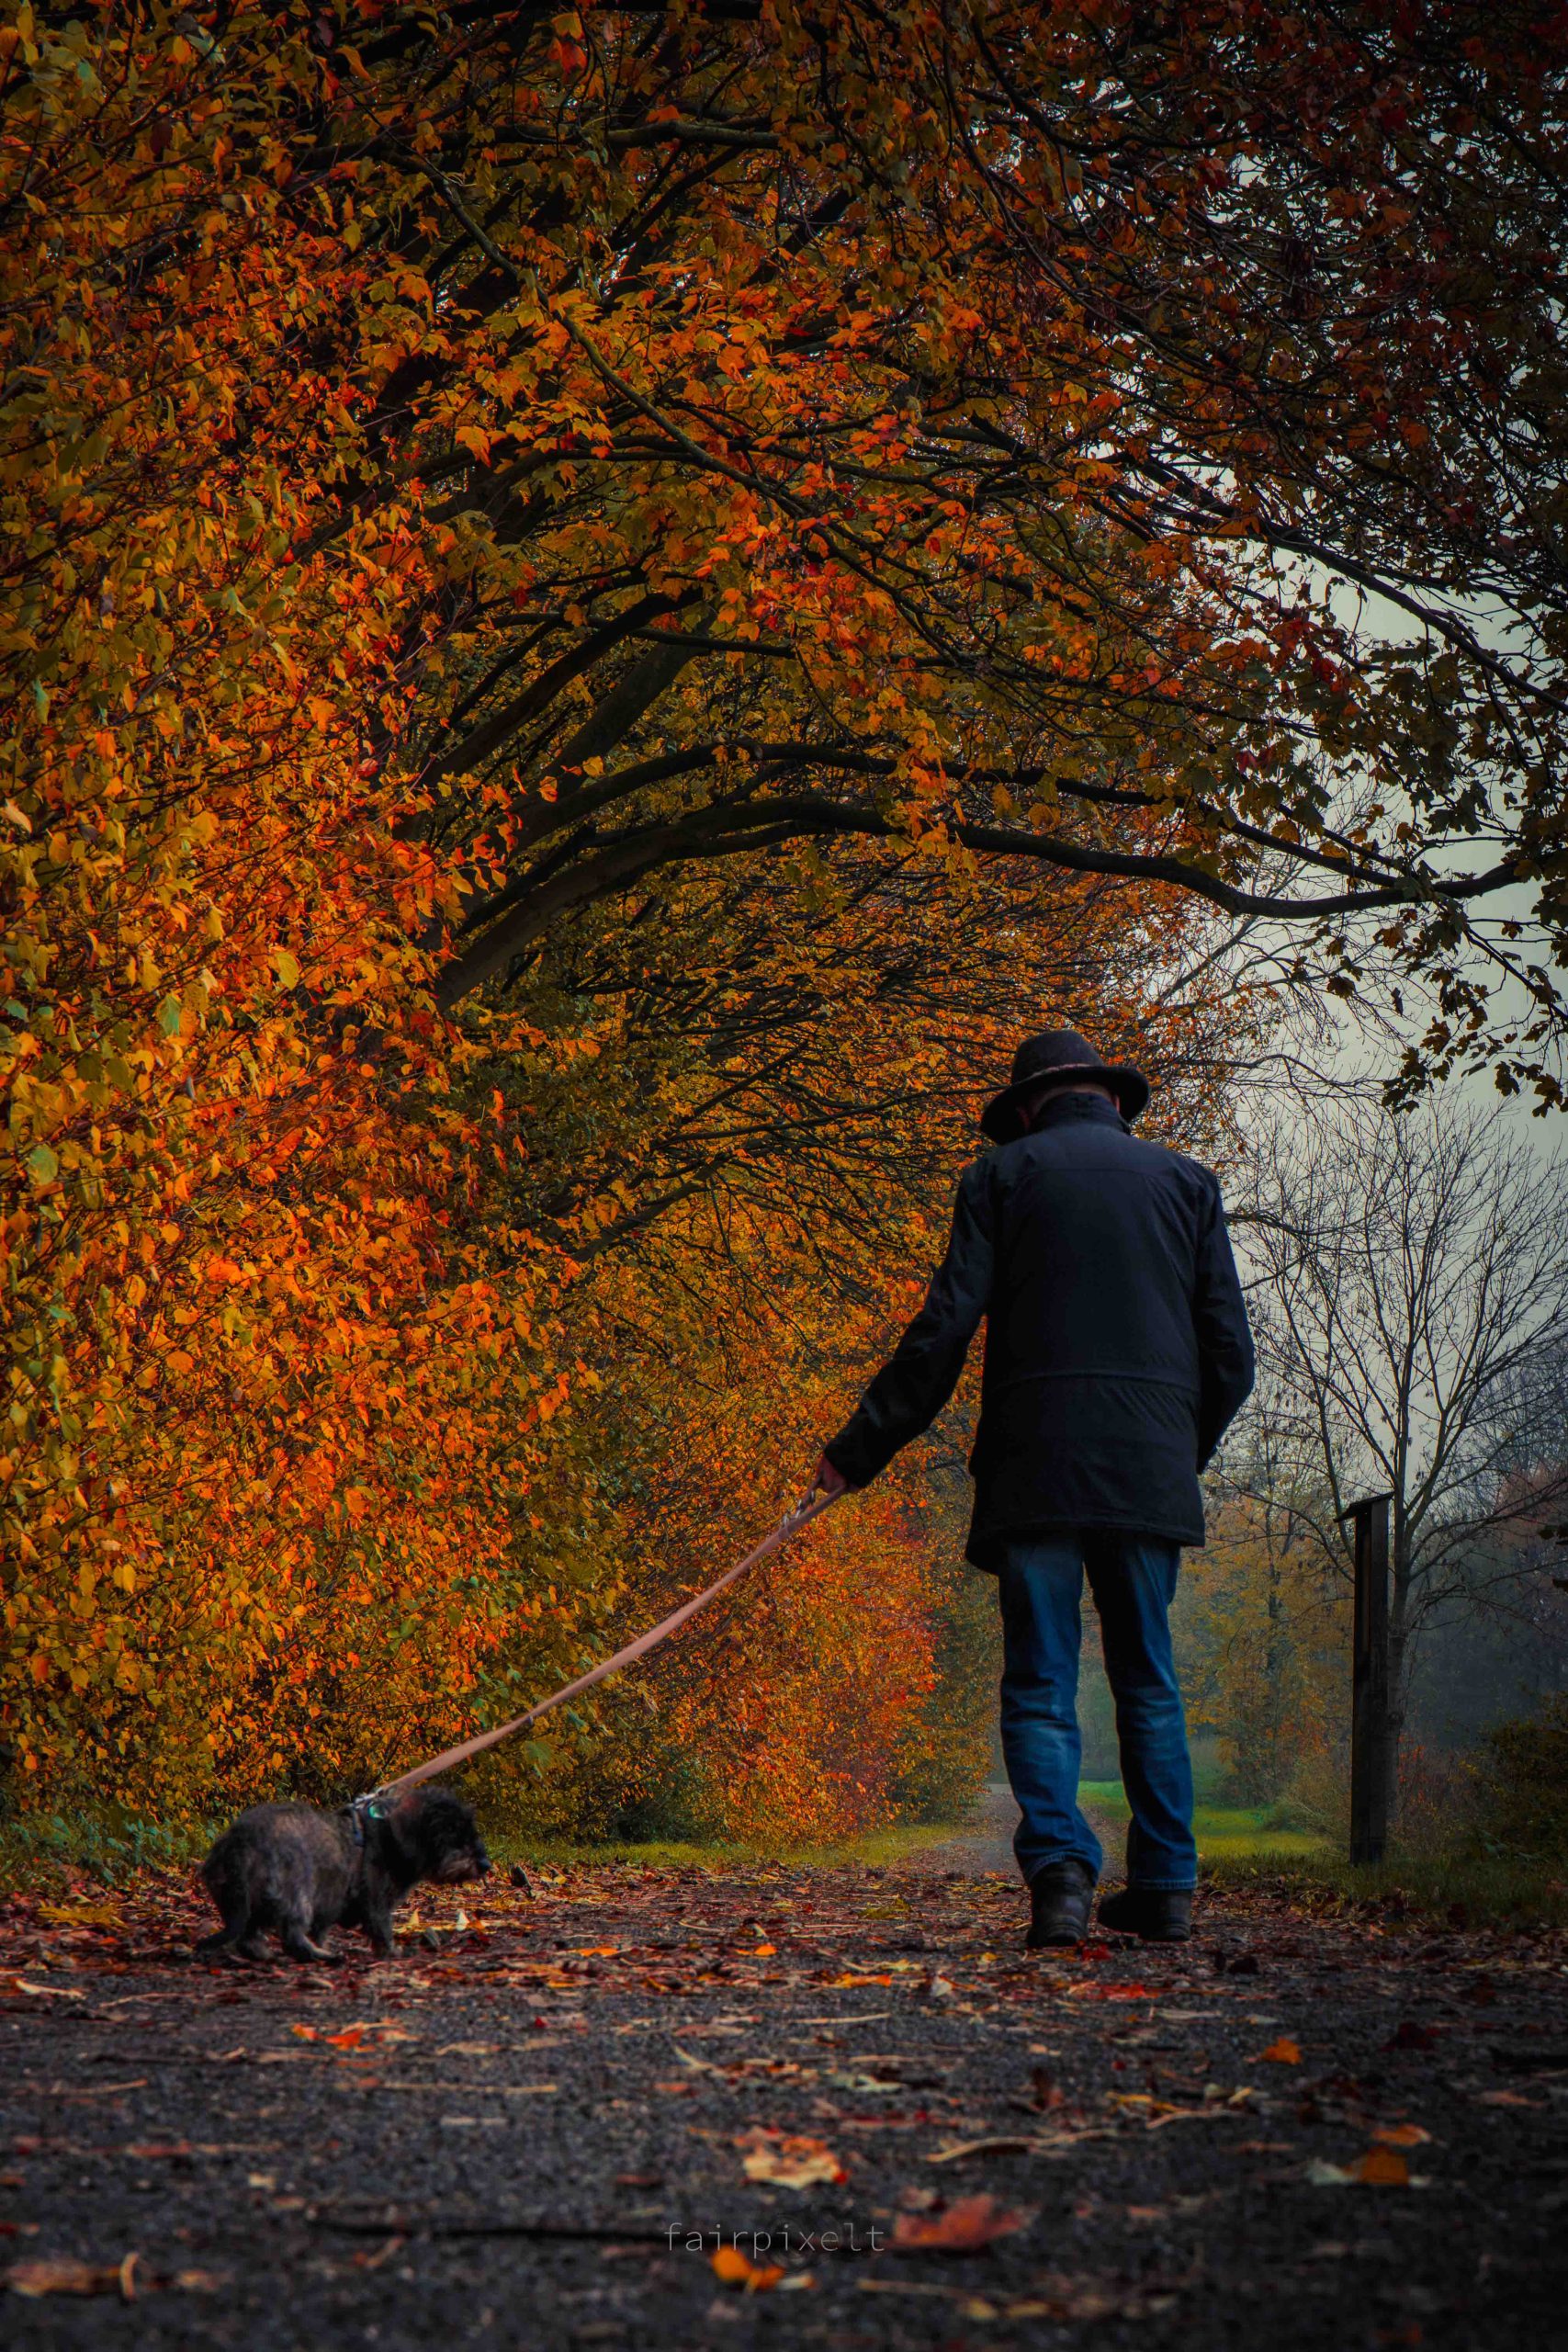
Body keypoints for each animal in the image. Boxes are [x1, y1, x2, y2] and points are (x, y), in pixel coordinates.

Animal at [197, 1778, 491, 1966]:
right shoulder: (375, 1900)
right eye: (451, 1832)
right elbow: (381, 1927)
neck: (390, 1835)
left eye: (472, 1830)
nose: (485, 1864)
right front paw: (393, 1951)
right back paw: (321, 1957)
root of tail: (240, 1841)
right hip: (297, 1893)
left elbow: (321, 1930)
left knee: (249, 1937)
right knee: (292, 1935)